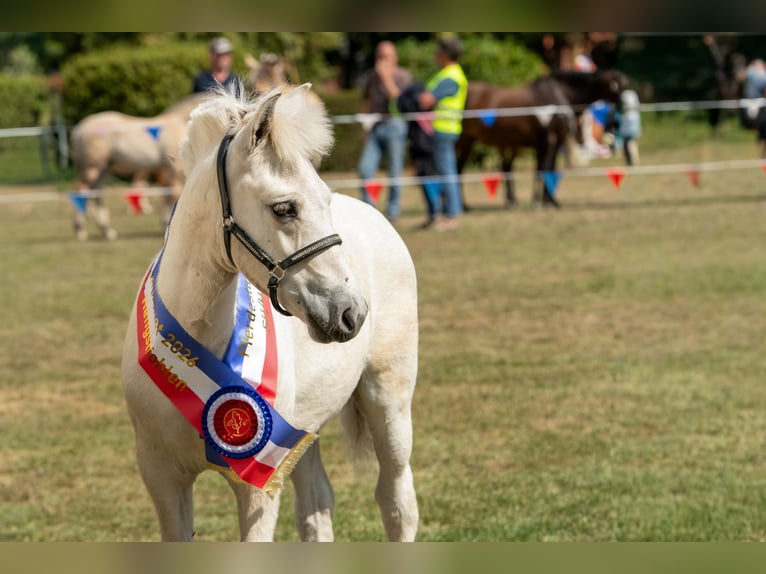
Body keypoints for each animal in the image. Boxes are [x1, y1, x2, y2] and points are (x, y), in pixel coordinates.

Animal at [70, 93, 208, 240]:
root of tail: (79, 129)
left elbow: (166, 194)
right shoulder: (172, 169)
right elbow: (171, 194)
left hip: (103, 169)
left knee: (97, 194)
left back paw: (107, 231)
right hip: (92, 168)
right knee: (81, 192)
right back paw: (80, 230)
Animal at [120, 85, 419, 542]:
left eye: (324, 200)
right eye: (283, 208)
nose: (350, 312)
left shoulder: (257, 484)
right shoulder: (162, 477)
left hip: (388, 400)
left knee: (397, 500)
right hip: (304, 429)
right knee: (317, 506)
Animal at [457, 70, 627, 208]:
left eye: (623, 86)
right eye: (614, 87)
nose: (620, 116)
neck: (559, 97)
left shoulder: (551, 142)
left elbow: (546, 169)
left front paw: (546, 200)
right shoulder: (548, 140)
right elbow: (545, 168)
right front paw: (545, 202)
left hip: (473, 142)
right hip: (463, 141)